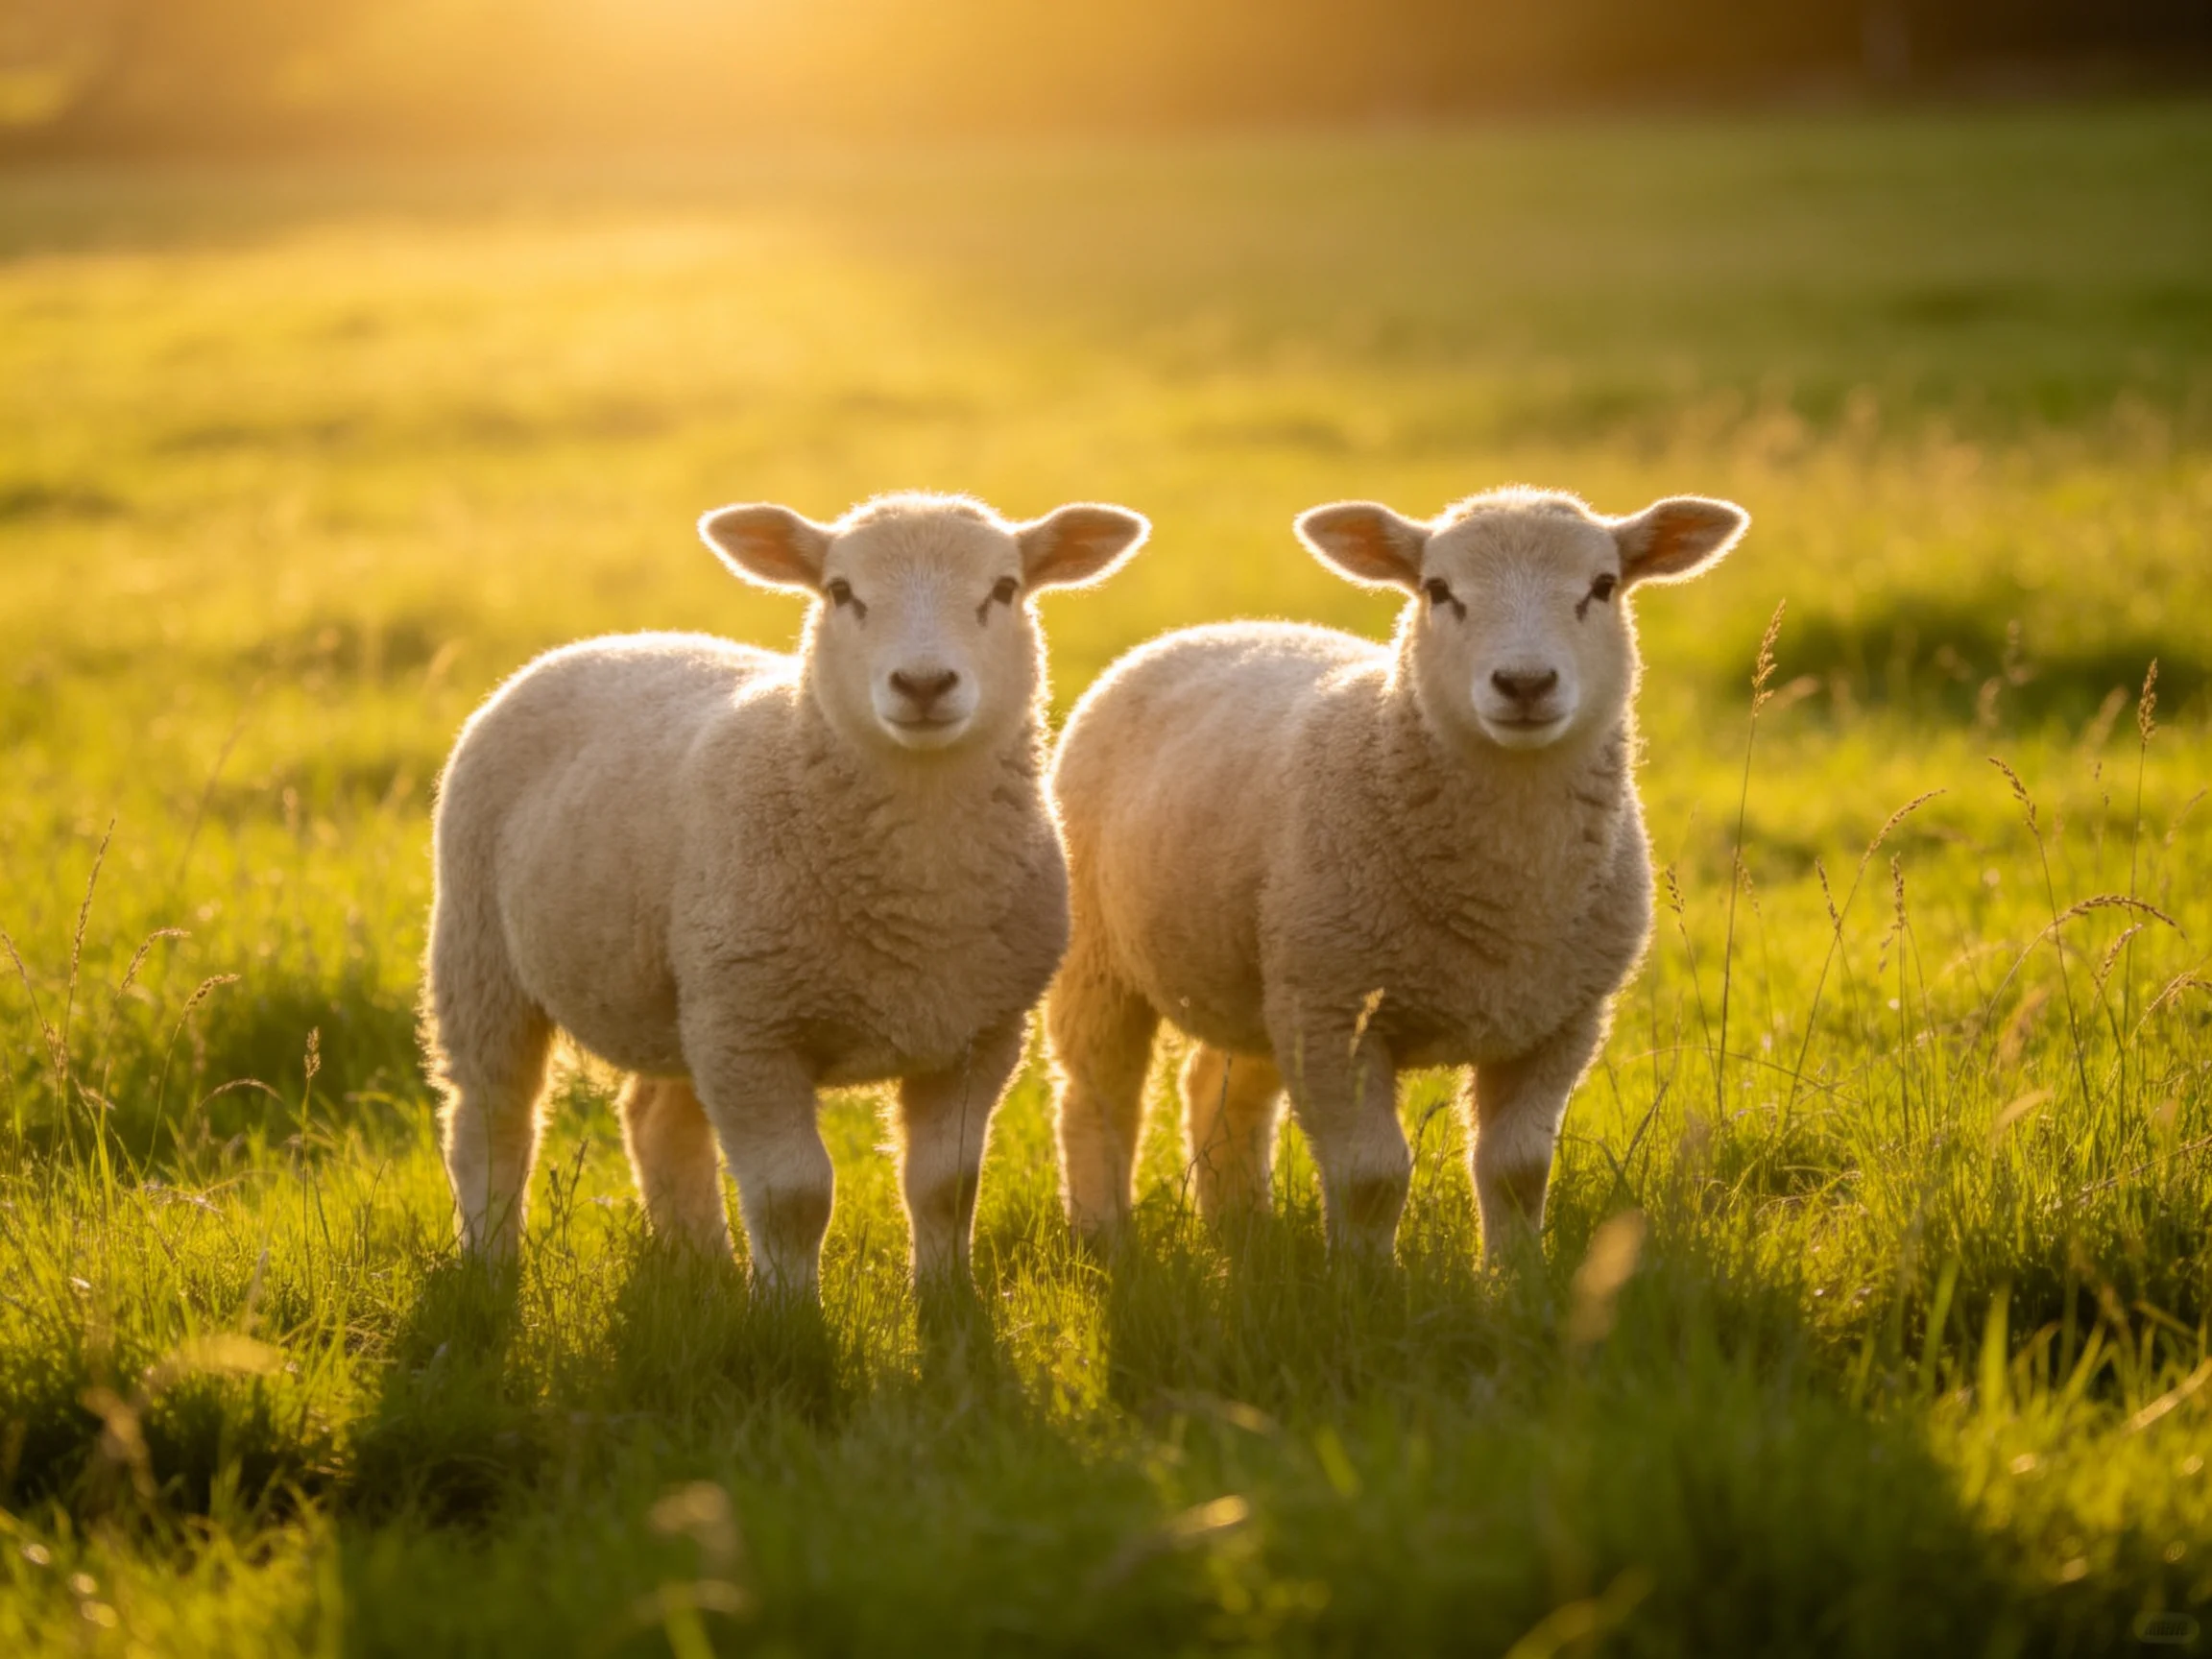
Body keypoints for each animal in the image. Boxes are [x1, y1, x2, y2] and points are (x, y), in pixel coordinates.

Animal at [420, 491, 1149, 1294]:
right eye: (840, 591)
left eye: (1005, 589)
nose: (924, 685)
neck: (917, 902)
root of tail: (601, 642)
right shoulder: (754, 1032)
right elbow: (792, 1195)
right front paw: (786, 1312)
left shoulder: (977, 1034)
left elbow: (947, 1187)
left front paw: (944, 1298)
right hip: (481, 951)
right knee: (491, 1119)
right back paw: (490, 1264)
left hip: (686, 993)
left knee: (657, 1118)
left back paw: (700, 1263)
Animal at [1045, 486, 1746, 1262]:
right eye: (1438, 590)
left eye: (1603, 586)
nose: (1525, 683)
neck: (1510, 895)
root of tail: (1213, 628)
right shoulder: (1336, 1012)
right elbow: (1371, 1178)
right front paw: (1362, 1284)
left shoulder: (1560, 1021)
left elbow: (1518, 1170)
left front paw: (1514, 1277)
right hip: (1103, 955)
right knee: (1096, 1095)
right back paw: (1104, 1237)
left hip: (1266, 972)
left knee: (1218, 1089)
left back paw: (1242, 1230)